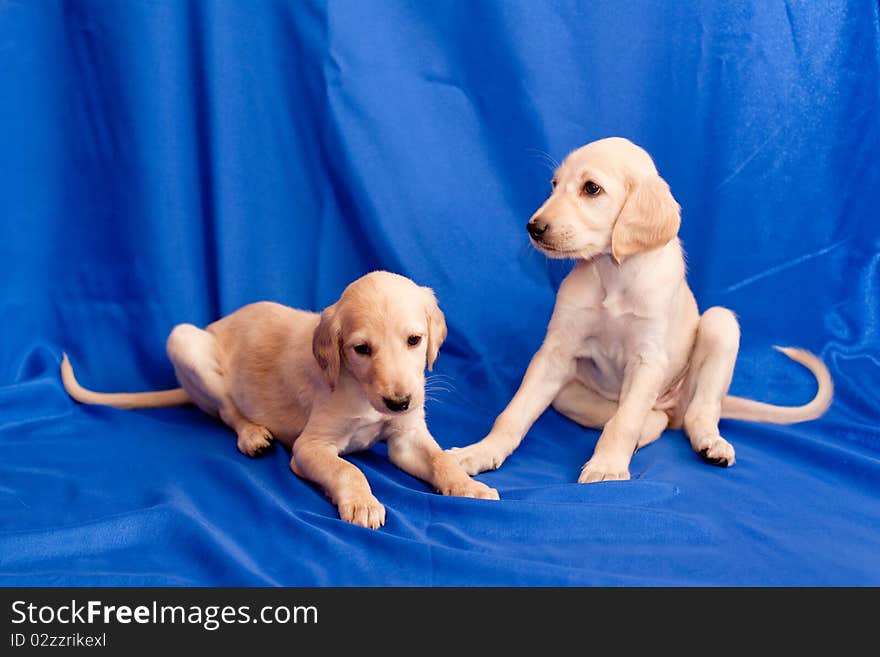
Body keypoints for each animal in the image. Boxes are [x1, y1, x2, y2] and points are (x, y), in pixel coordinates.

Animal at [63, 270, 496, 528]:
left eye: (414, 340)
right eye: (361, 349)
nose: (400, 402)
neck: (358, 389)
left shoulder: (406, 438)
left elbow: (439, 458)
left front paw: (467, 486)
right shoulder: (310, 446)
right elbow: (347, 470)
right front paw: (362, 503)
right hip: (184, 341)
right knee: (228, 412)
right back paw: (252, 435)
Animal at [454, 136, 832, 480]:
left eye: (591, 189)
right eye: (554, 184)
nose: (533, 227)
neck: (614, 274)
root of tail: (674, 407)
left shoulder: (648, 360)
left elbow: (624, 422)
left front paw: (607, 466)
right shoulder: (554, 353)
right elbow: (513, 413)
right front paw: (481, 451)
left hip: (719, 326)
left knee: (696, 413)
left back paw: (710, 443)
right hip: (566, 392)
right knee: (649, 419)